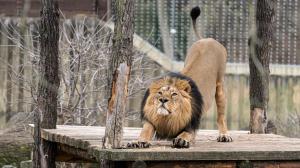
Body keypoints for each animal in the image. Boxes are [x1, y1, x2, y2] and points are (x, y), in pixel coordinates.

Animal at [127, 5, 232, 148]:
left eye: (174, 94)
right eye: (159, 93)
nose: (163, 100)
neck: (168, 118)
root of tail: (208, 39)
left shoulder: (192, 123)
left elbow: (188, 132)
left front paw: (181, 139)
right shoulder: (152, 120)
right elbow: (146, 130)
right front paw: (138, 141)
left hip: (220, 88)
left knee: (221, 116)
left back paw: (224, 135)